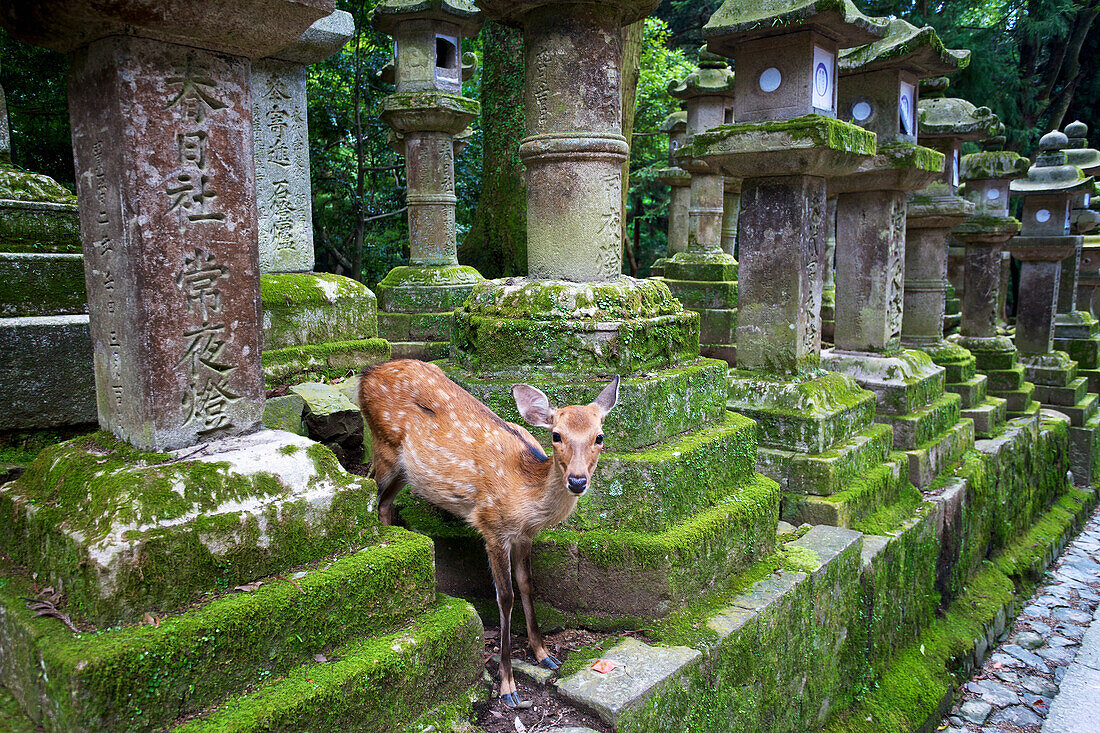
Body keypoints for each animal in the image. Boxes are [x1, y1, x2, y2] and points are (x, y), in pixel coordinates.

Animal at [358, 356, 624, 704]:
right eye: (556, 435)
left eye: (599, 437)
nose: (578, 480)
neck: (526, 495)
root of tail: (366, 374)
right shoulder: (492, 526)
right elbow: (506, 596)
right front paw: (507, 685)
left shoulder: (525, 536)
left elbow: (527, 584)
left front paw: (544, 654)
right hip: (384, 445)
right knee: (371, 489)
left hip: (406, 469)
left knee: (385, 502)